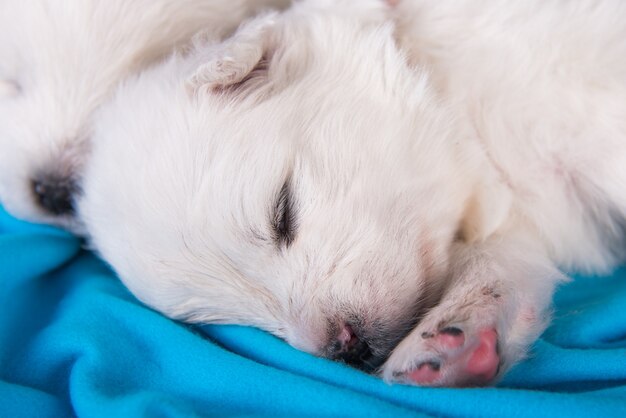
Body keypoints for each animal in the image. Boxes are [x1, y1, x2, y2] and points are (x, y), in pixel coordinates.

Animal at [77, 0, 624, 386]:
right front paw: (452, 344)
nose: (346, 347)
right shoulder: (520, 221)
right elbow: (500, 266)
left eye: (283, 212)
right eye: (227, 318)